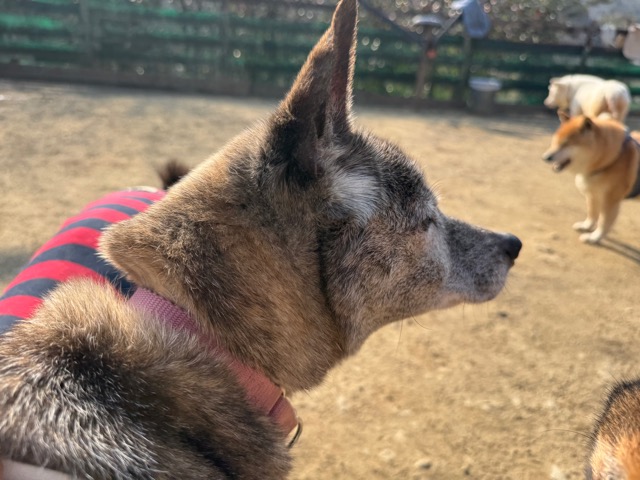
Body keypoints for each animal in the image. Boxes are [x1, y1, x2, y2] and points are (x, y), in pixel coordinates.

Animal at [542, 114, 640, 244]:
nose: (545, 157)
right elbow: (592, 214)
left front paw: (594, 237)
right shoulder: (593, 194)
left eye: (566, 144)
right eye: (555, 141)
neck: (613, 158)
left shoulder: (610, 201)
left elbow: (603, 222)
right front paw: (586, 226)